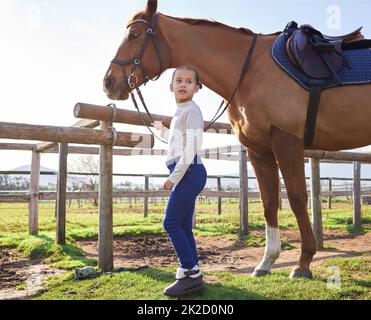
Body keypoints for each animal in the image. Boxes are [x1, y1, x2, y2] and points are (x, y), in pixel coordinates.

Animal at [103, 0, 371, 278]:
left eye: (134, 35)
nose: (108, 82)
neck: (250, 69)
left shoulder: (286, 141)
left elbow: (297, 198)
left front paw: (303, 263)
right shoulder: (259, 149)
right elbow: (269, 202)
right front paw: (267, 261)